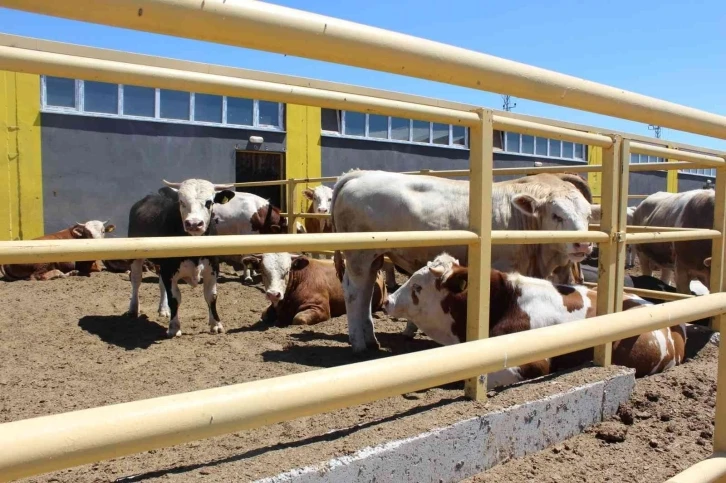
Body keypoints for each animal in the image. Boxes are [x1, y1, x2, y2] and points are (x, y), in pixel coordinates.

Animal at [126, 179, 236, 337]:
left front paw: (216, 324)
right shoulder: (169, 270)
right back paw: (133, 308)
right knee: (136, 280)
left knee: (160, 284)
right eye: (181, 202)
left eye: (209, 202)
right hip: (136, 257)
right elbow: (175, 298)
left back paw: (163, 309)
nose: (194, 224)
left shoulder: (213, 268)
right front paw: (174, 327)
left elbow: (211, 296)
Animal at [243, 252, 387, 326]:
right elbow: (264, 315)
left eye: (287, 271)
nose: (273, 294)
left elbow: (298, 319)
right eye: (263, 271)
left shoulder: (320, 308)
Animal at [331, 170, 594, 353]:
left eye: (588, 215)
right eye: (557, 214)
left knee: (366, 291)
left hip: (373, 257)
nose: (583, 244)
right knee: (354, 292)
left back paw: (370, 339)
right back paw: (358, 343)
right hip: (359, 255)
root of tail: (361, 174)